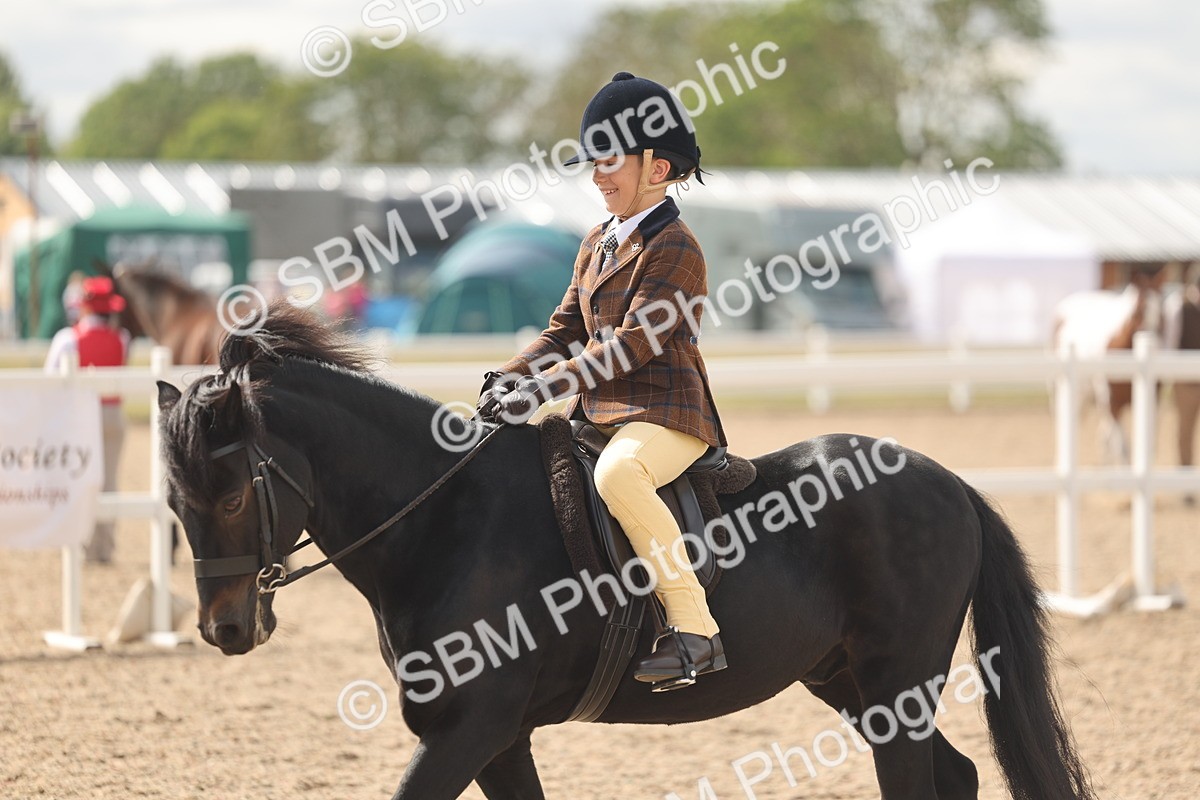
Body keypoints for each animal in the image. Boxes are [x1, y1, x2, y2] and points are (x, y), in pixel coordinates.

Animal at [156, 303, 1095, 800]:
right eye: (172, 500)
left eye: (232, 495)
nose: (224, 630)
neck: (446, 520)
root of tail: (947, 482)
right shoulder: (501, 740)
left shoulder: (469, 729)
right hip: (848, 683)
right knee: (957, 775)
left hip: (897, 684)